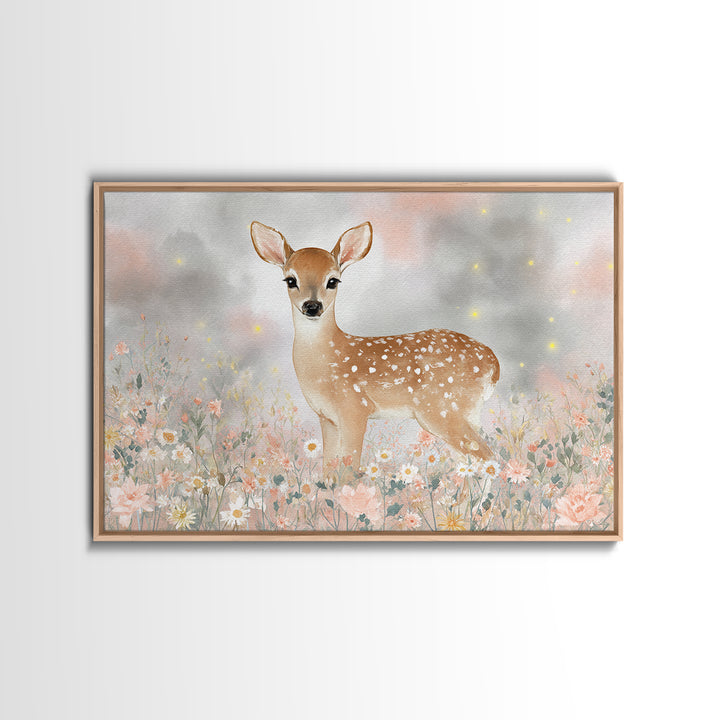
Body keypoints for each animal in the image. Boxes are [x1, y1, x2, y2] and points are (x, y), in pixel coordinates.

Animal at [250, 221, 500, 481]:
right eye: (290, 280)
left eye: (333, 281)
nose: (312, 306)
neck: (327, 359)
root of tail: (494, 365)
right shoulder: (327, 417)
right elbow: (329, 470)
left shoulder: (354, 407)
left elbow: (349, 469)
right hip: (460, 413)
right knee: (468, 462)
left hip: (441, 409)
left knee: (486, 456)